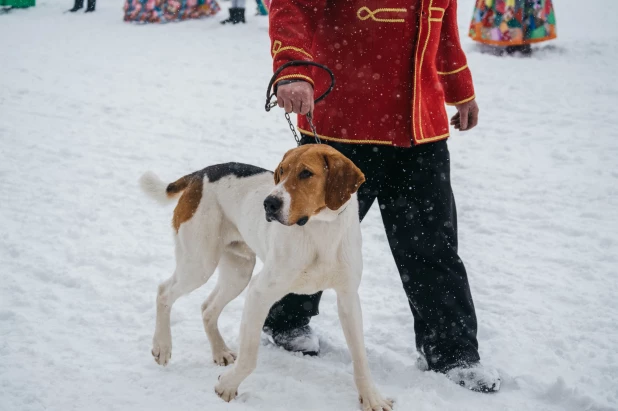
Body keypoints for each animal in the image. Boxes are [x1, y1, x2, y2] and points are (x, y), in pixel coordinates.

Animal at [139, 143, 390, 410]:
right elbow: (249, 357)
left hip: (238, 272)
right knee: (164, 292)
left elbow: (360, 358)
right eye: (281, 171)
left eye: (306, 173)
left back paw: (219, 351)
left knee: (207, 308)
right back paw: (162, 347)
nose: (268, 203)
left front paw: (372, 397)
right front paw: (227, 387)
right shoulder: (260, 292)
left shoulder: (348, 298)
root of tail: (201, 174)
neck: (320, 229)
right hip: (199, 264)